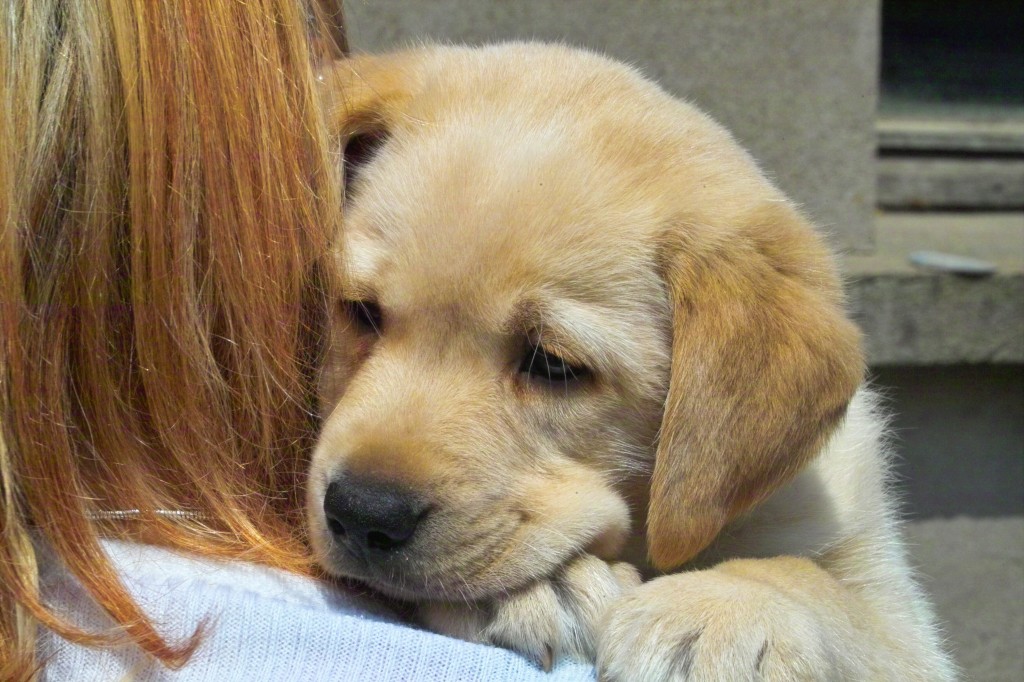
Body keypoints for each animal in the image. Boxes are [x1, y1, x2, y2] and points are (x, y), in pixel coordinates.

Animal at [307, 45, 954, 675]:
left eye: (553, 365)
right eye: (363, 313)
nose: (362, 512)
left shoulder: (895, 610)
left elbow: (815, 583)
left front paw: (719, 609)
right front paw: (543, 587)